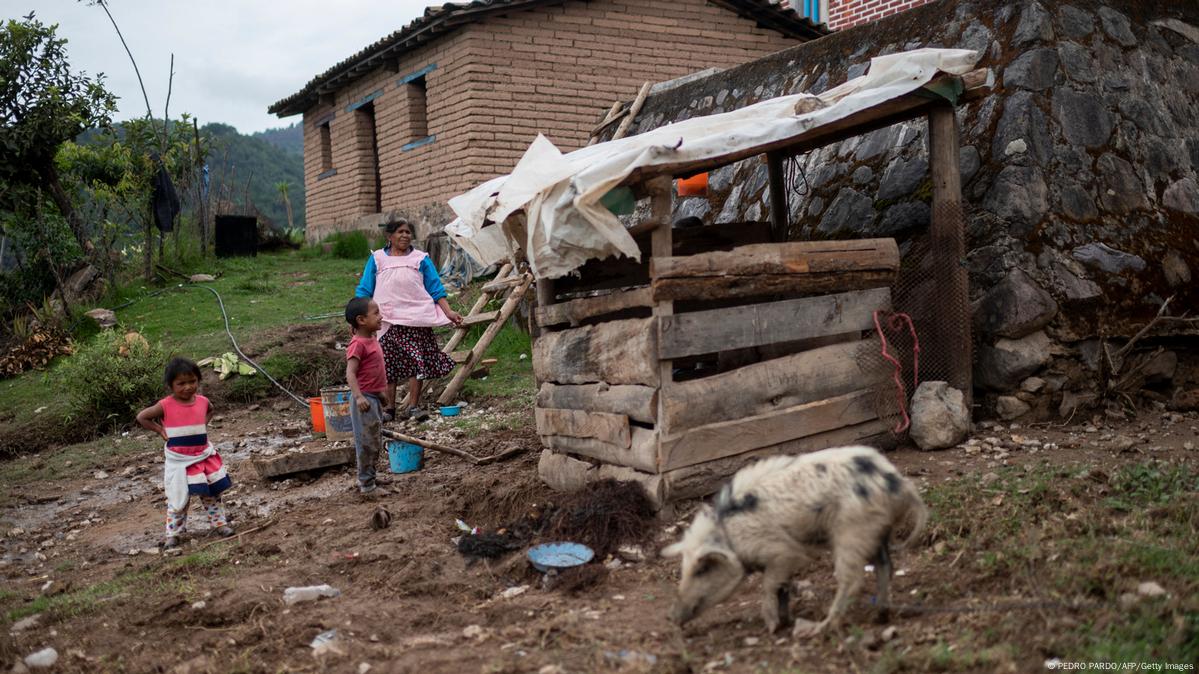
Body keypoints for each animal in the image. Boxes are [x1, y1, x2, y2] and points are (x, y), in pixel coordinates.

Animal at [657, 443, 925, 638]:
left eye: (702, 570)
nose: (669, 616)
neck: (730, 536)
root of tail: (898, 482)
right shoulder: (781, 561)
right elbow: (782, 588)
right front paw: (785, 621)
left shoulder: (781, 552)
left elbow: (769, 586)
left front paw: (772, 627)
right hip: (876, 532)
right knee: (885, 566)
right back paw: (880, 616)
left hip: (852, 531)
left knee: (853, 580)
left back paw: (821, 629)